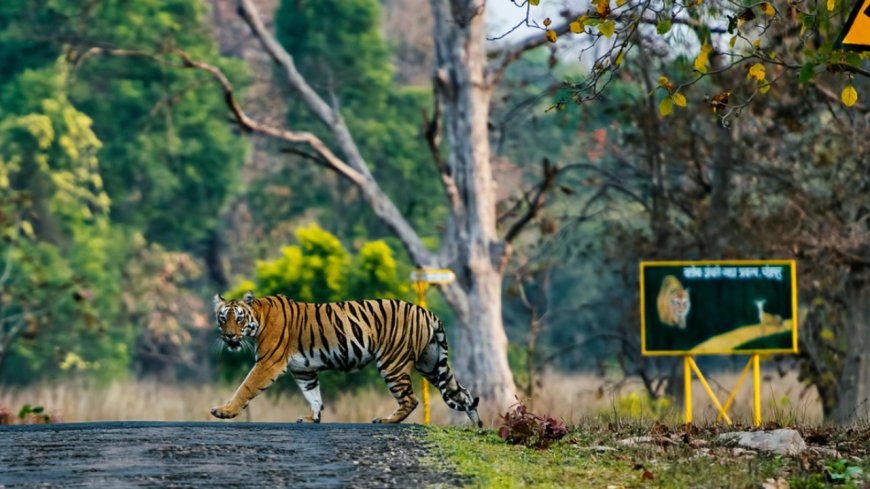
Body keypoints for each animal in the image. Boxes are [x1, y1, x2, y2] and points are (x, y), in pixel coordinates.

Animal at [210, 291, 482, 427]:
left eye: (239, 319)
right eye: (223, 318)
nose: (229, 336)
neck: (258, 318)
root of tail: (426, 311)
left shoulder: (268, 363)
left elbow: (245, 387)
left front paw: (224, 411)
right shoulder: (304, 370)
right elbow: (313, 395)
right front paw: (312, 419)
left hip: (392, 363)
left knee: (410, 399)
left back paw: (386, 420)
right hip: (431, 364)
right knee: (463, 392)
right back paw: (476, 425)